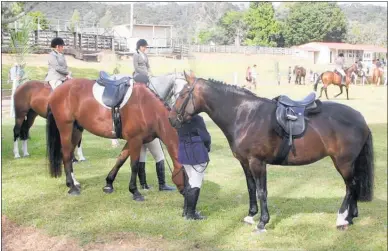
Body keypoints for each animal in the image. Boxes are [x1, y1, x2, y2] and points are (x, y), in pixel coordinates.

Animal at [44, 73, 187, 201]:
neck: (147, 107)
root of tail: (57, 90)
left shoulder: (132, 141)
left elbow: (120, 160)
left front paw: (109, 184)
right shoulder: (135, 140)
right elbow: (134, 165)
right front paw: (135, 192)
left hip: (76, 130)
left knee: (69, 154)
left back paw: (75, 183)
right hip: (66, 128)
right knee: (66, 154)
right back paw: (71, 187)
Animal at [169, 70, 372, 231]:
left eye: (183, 94)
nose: (171, 119)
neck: (245, 115)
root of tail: (360, 118)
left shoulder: (257, 162)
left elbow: (261, 191)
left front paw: (262, 222)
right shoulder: (245, 162)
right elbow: (251, 188)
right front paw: (251, 215)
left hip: (343, 162)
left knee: (351, 186)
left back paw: (342, 219)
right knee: (353, 186)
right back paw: (350, 217)